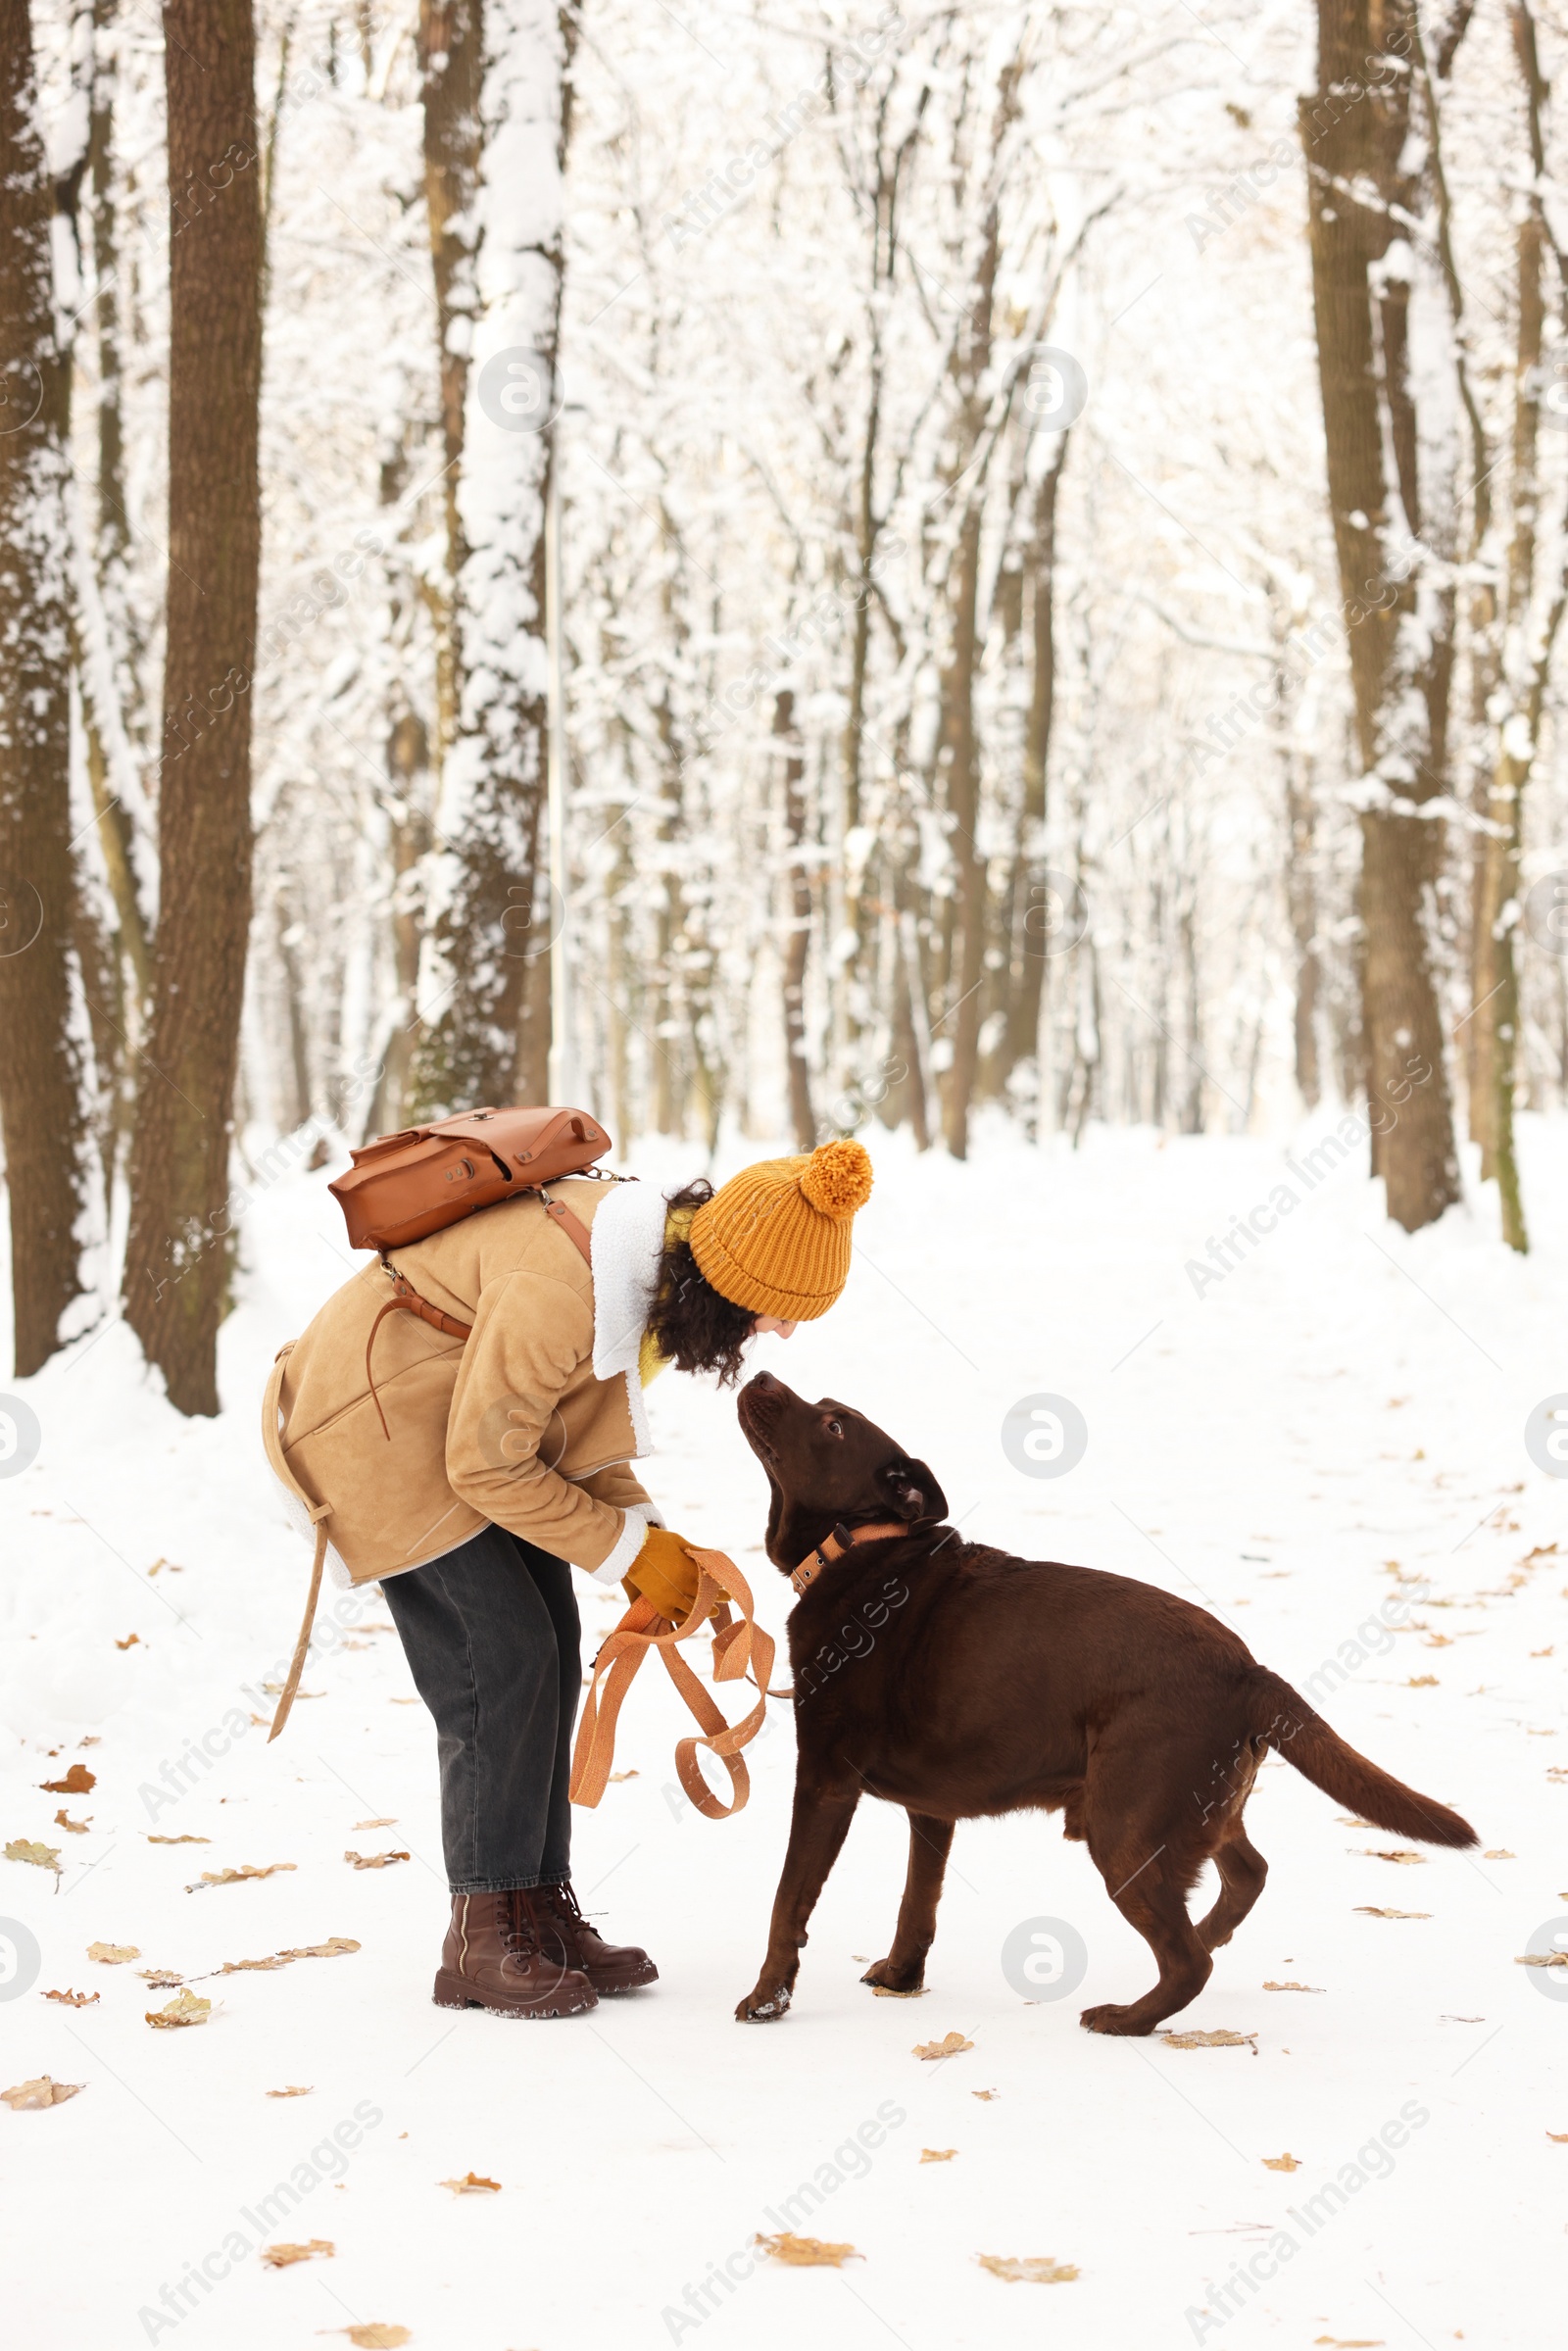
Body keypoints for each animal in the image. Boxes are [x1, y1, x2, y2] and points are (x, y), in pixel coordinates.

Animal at [728, 1373, 1476, 2031]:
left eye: (832, 1424)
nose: (760, 1374)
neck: (860, 1547)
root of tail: (1248, 1670)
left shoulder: (824, 1780)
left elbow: (787, 1901)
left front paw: (766, 2000)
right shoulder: (932, 1810)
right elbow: (919, 1899)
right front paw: (901, 1977)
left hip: (1125, 1830)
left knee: (1189, 1960)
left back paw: (1126, 2017)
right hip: (1193, 1809)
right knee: (1245, 1875)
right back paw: (1202, 1938)